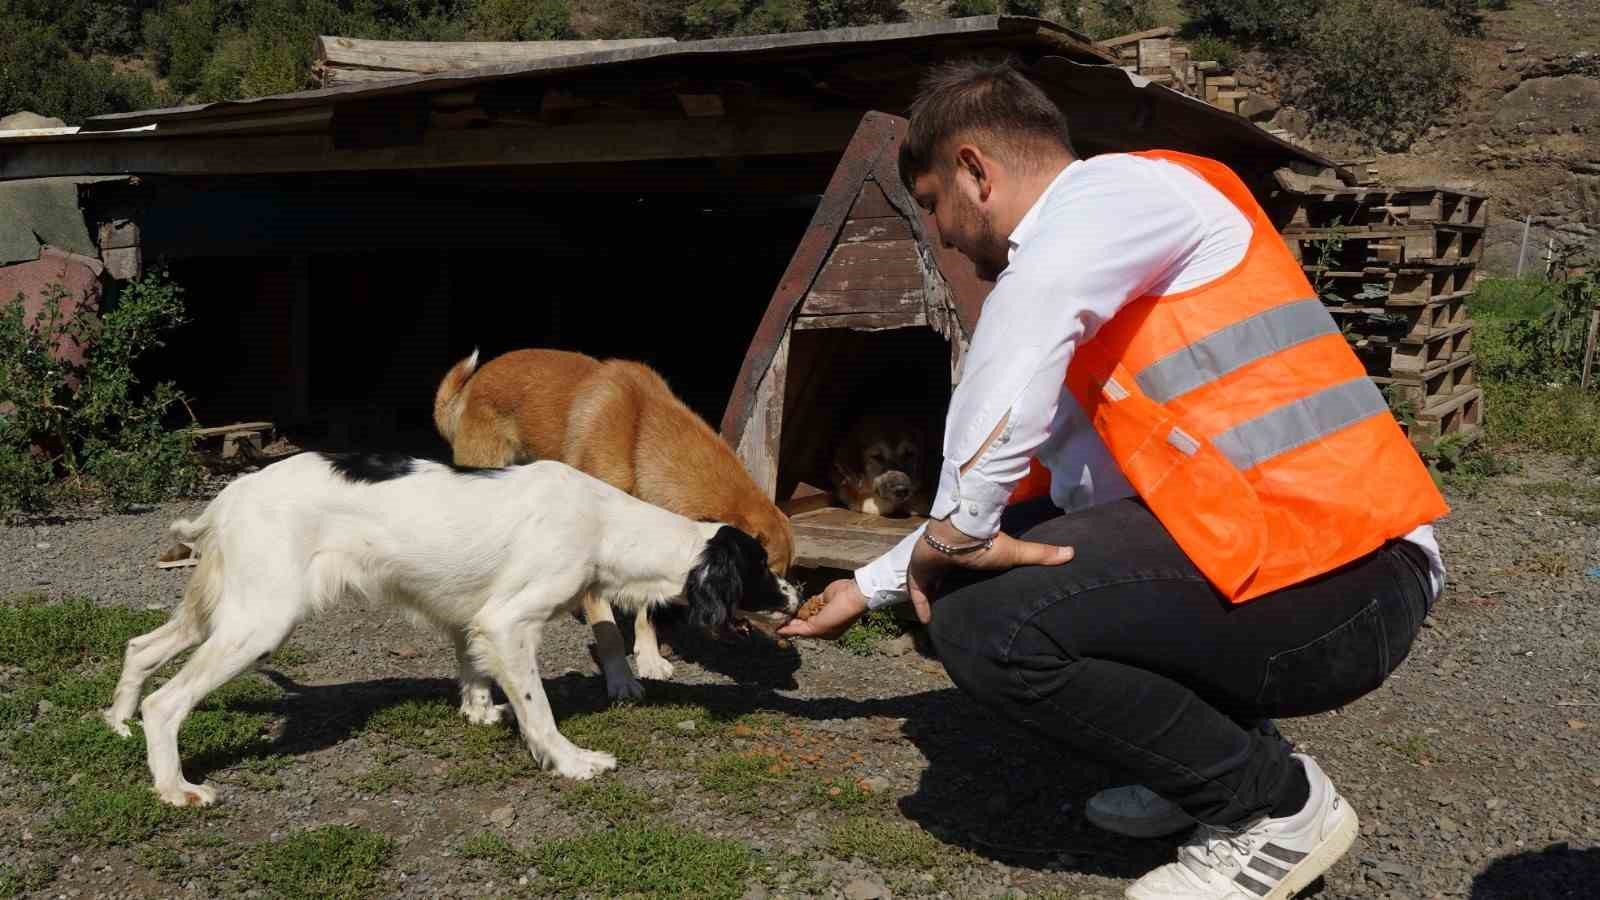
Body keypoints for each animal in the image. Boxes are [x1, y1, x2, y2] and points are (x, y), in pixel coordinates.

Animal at [104, 448, 800, 807]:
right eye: (764, 569)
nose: (797, 599)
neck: (605, 523)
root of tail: (234, 491)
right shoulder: (508, 620)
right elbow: (539, 709)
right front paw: (570, 761)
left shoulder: (473, 618)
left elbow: (473, 671)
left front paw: (479, 712)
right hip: (260, 620)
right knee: (168, 702)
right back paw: (175, 787)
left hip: (226, 611)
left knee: (140, 648)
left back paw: (117, 723)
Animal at [432, 347, 793, 698]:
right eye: (763, 569)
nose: (787, 630)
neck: (642, 440)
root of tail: (473, 384)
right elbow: (609, 634)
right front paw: (621, 678)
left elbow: (646, 610)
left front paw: (649, 657)